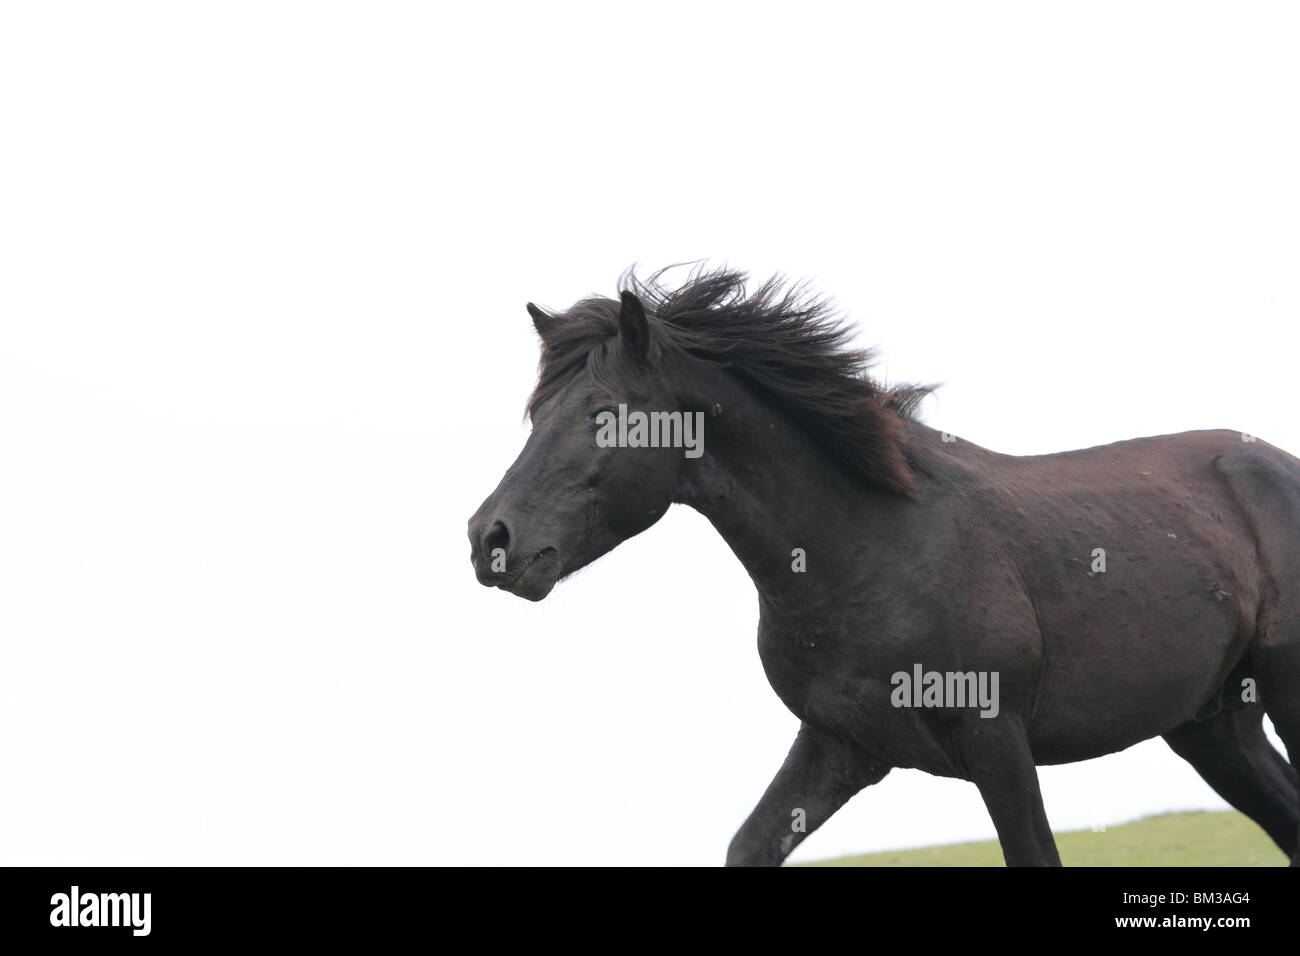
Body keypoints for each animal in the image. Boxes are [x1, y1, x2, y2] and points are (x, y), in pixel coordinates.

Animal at [470, 265, 1300, 863]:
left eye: (604, 413)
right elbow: (749, 845)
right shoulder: (844, 745)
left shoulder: (995, 736)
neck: (870, 548)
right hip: (1215, 728)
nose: (491, 540)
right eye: (537, 413)